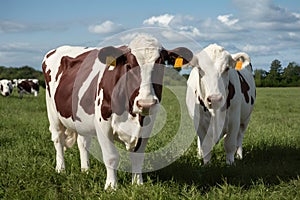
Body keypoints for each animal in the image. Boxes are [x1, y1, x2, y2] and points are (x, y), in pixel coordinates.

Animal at [41, 34, 192, 189]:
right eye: (129, 66)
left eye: (161, 65)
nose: (146, 103)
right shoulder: (103, 123)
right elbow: (111, 157)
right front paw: (111, 186)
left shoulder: (147, 124)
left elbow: (138, 157)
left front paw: (137, 184)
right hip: (53, 113)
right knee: (58, 139)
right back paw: (60, 170)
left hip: (80, 120)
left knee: (83, 142)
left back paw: (85, 170)